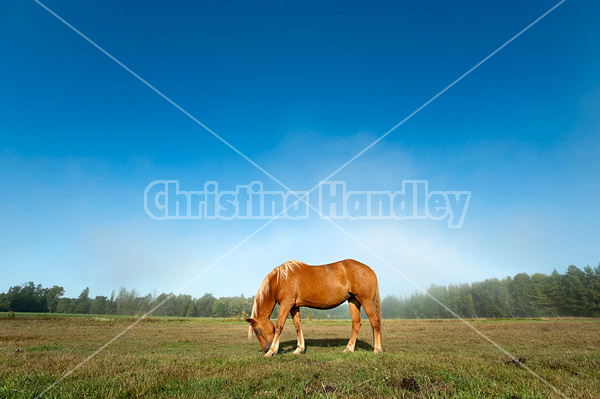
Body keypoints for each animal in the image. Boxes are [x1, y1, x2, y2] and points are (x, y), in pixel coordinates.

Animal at [245, 260, 382, 358]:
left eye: (256, 331)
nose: (266, 349)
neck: (280, 280)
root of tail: (370, 270)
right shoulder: (294, 306)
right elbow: (297, 326)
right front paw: (299, 349)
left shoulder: (286, 304)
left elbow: (279, 326)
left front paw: (272, 352)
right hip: (353, 301)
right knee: (356, 323)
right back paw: (349, 349)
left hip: (365, 300)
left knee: (374, 321)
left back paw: (377, 349)